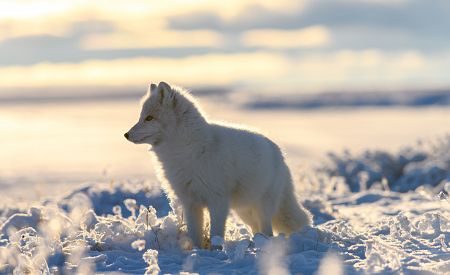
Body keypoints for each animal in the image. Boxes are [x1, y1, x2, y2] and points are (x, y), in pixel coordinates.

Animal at [125, 82, 312, 248]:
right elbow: (195, 235)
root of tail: (279, 153)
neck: (187, 151)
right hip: (244, 211)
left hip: (262, 208)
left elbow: (215, 233)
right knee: (256, 229)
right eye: (141, 117)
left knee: (268, 232)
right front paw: (197, 252)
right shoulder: (190, 202)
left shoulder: (218, 201)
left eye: (149, 118)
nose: (126, 134)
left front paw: (216, 252)